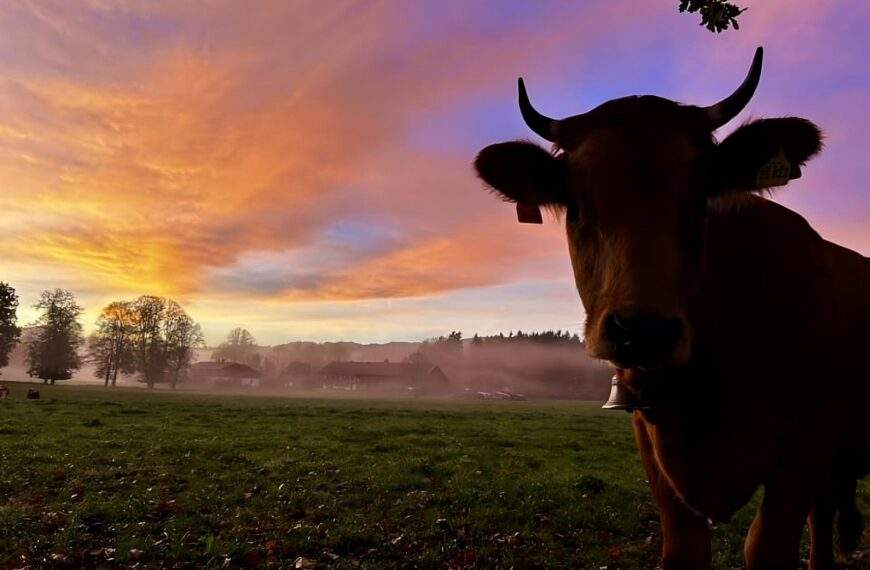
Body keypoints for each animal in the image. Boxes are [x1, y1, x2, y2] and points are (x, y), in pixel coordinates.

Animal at [476, 46, 870, 564]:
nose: (643, 330)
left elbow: (764, 545)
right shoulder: (654, 449)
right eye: (575, 205)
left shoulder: (802, 457)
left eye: (701, 198)